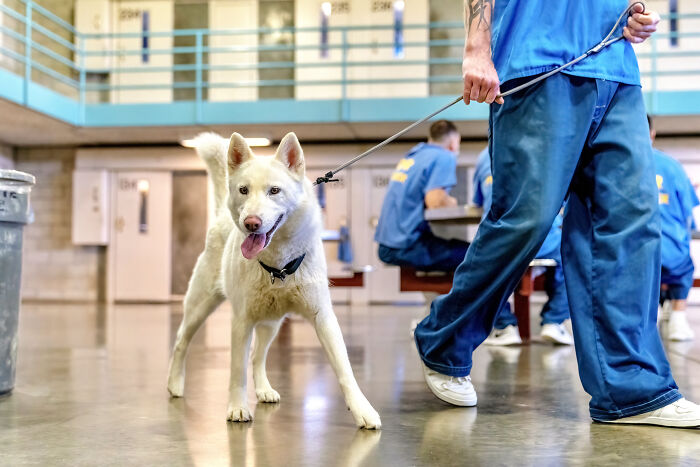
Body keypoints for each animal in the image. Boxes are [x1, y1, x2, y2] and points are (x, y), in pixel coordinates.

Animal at [167, 132, 380, 432]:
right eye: (244, 190)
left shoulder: (323, 318)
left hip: (271, 323)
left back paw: (264, 390)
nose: (251, 223)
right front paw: (237, 407)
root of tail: (220, 217)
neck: (279, 266)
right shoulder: (241, 322)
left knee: (257, 356)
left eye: (275, 191)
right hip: (200, 307)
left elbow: (345, 370)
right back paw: (175, 384)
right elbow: (237, 372)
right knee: (181, 342)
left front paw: (363, 410)